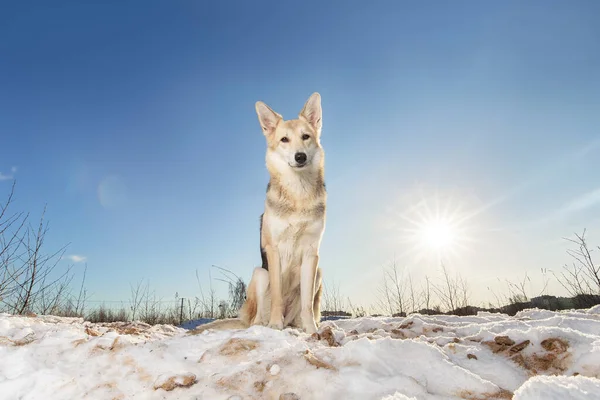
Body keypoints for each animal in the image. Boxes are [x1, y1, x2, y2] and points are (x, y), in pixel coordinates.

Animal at [192, 94, 326, 334]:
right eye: (284, 140)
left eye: (306, 137)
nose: (300, 157)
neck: (297, 196)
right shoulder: (273, 250)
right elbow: (277, 296)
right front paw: (275, 326)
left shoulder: (312, 253)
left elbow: (307, 303)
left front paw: (312, 330)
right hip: (260, 274)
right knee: (257, 319)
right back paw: (266, 325)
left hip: (318, 272)